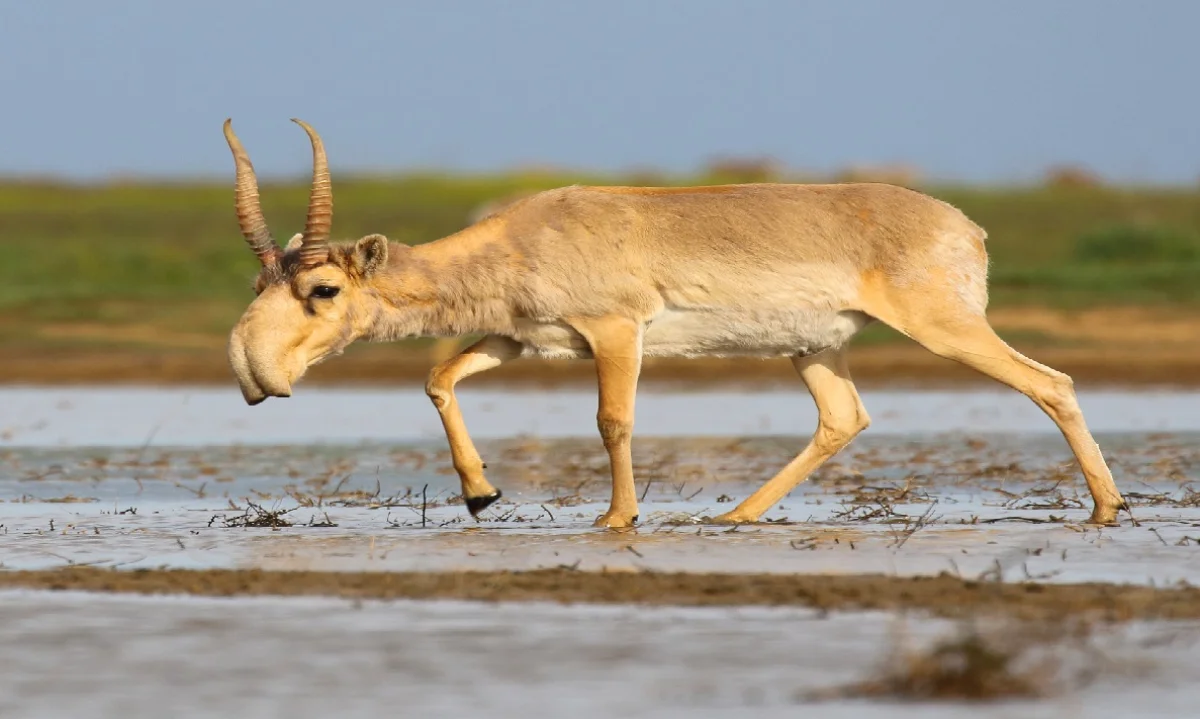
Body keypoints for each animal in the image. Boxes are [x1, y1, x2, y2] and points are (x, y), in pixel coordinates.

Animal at [223, 119, 1123, 528]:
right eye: (261, 278)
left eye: (323, 289)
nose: (251, 372)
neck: (523, 234)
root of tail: (966, 227)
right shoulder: (521, 338)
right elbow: (437, 375)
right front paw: (481, 493)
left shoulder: (617, 333)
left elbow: (612, 419)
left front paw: (615, 517)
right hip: (812, 348)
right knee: (843, 417)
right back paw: (734, 516)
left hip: (944, 326)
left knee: (1051, 381)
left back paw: (1108, 507)